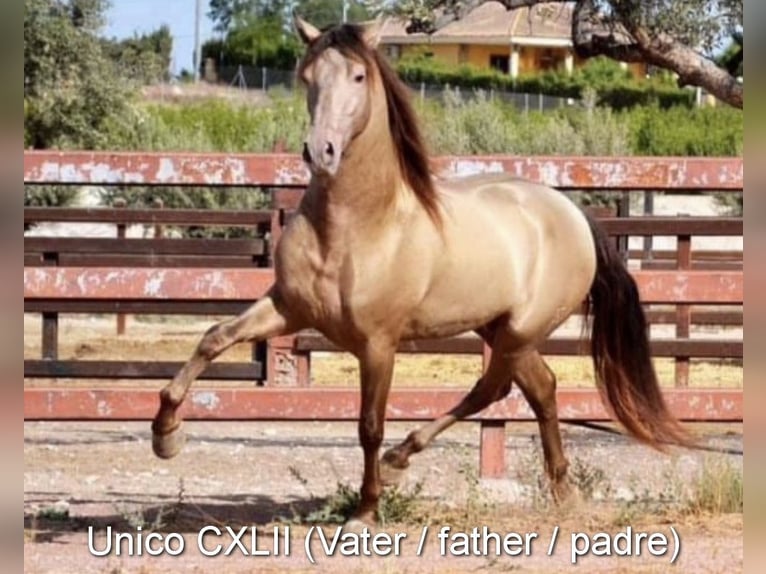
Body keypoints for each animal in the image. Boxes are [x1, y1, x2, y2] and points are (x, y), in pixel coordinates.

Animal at [153, 15, 692, 532]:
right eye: (307, 76)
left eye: (358, 75)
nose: (320, 151)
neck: (357, 227)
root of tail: (572, 213)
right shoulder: (288, 308)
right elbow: (213, 337)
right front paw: (166, 435)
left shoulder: (378, 344)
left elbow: (369, 424)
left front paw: (365, 511)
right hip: (496, 327)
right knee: (535, 388)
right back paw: (558, 489)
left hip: (519, 331)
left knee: (497, 389)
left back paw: (403, 462)